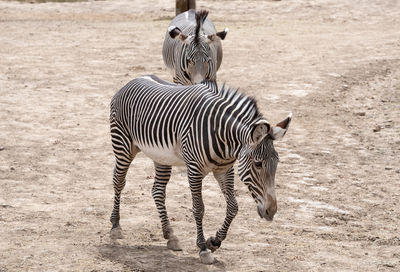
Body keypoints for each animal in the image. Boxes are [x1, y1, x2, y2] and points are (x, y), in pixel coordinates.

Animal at [109, 74, 290, 264]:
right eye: (258, 164)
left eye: (277, 163)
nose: (272, 211)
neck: (222, 136)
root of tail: (132, 80)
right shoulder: (194, 169)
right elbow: (199, 208)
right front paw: (203, 248)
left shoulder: (224, 170)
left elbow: (233, 207)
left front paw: (215, 241)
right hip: (123, 145)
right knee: (118, 181)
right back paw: (115, 225)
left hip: (160, 156)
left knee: (157, 191)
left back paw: (170, 235)